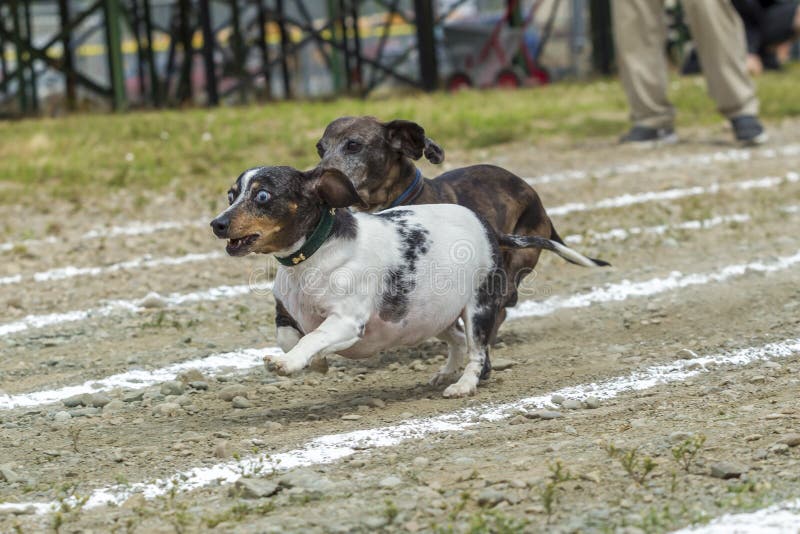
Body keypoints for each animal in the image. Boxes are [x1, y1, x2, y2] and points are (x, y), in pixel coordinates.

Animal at [209, 166, 608, 398]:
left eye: (262, 195)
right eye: (231, 195)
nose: (217, 224)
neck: (314, 256)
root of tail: (489, 229)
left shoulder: (346, 321)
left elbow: (313, 337)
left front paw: (290, 364)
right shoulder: (286, 313)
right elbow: (293, 337)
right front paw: (316, 363)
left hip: (478, 308)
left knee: (478, 350)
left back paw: (463, 384)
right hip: (427, 312)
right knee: (457, 340)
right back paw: (446, 373)